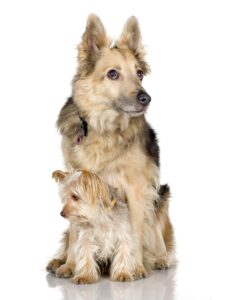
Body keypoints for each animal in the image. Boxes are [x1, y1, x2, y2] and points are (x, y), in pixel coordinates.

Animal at [48, 14, 175, 280]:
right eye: (113, 74)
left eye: (139, 73)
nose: (146, 98)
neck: (103, 127)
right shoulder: (74, 179)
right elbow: (75, 233)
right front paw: (71, 265)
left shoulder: (137, 189)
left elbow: (135, 230)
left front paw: (134, 267)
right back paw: (58, 260)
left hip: (162, 196)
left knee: (158, 238)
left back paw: (157, 260)